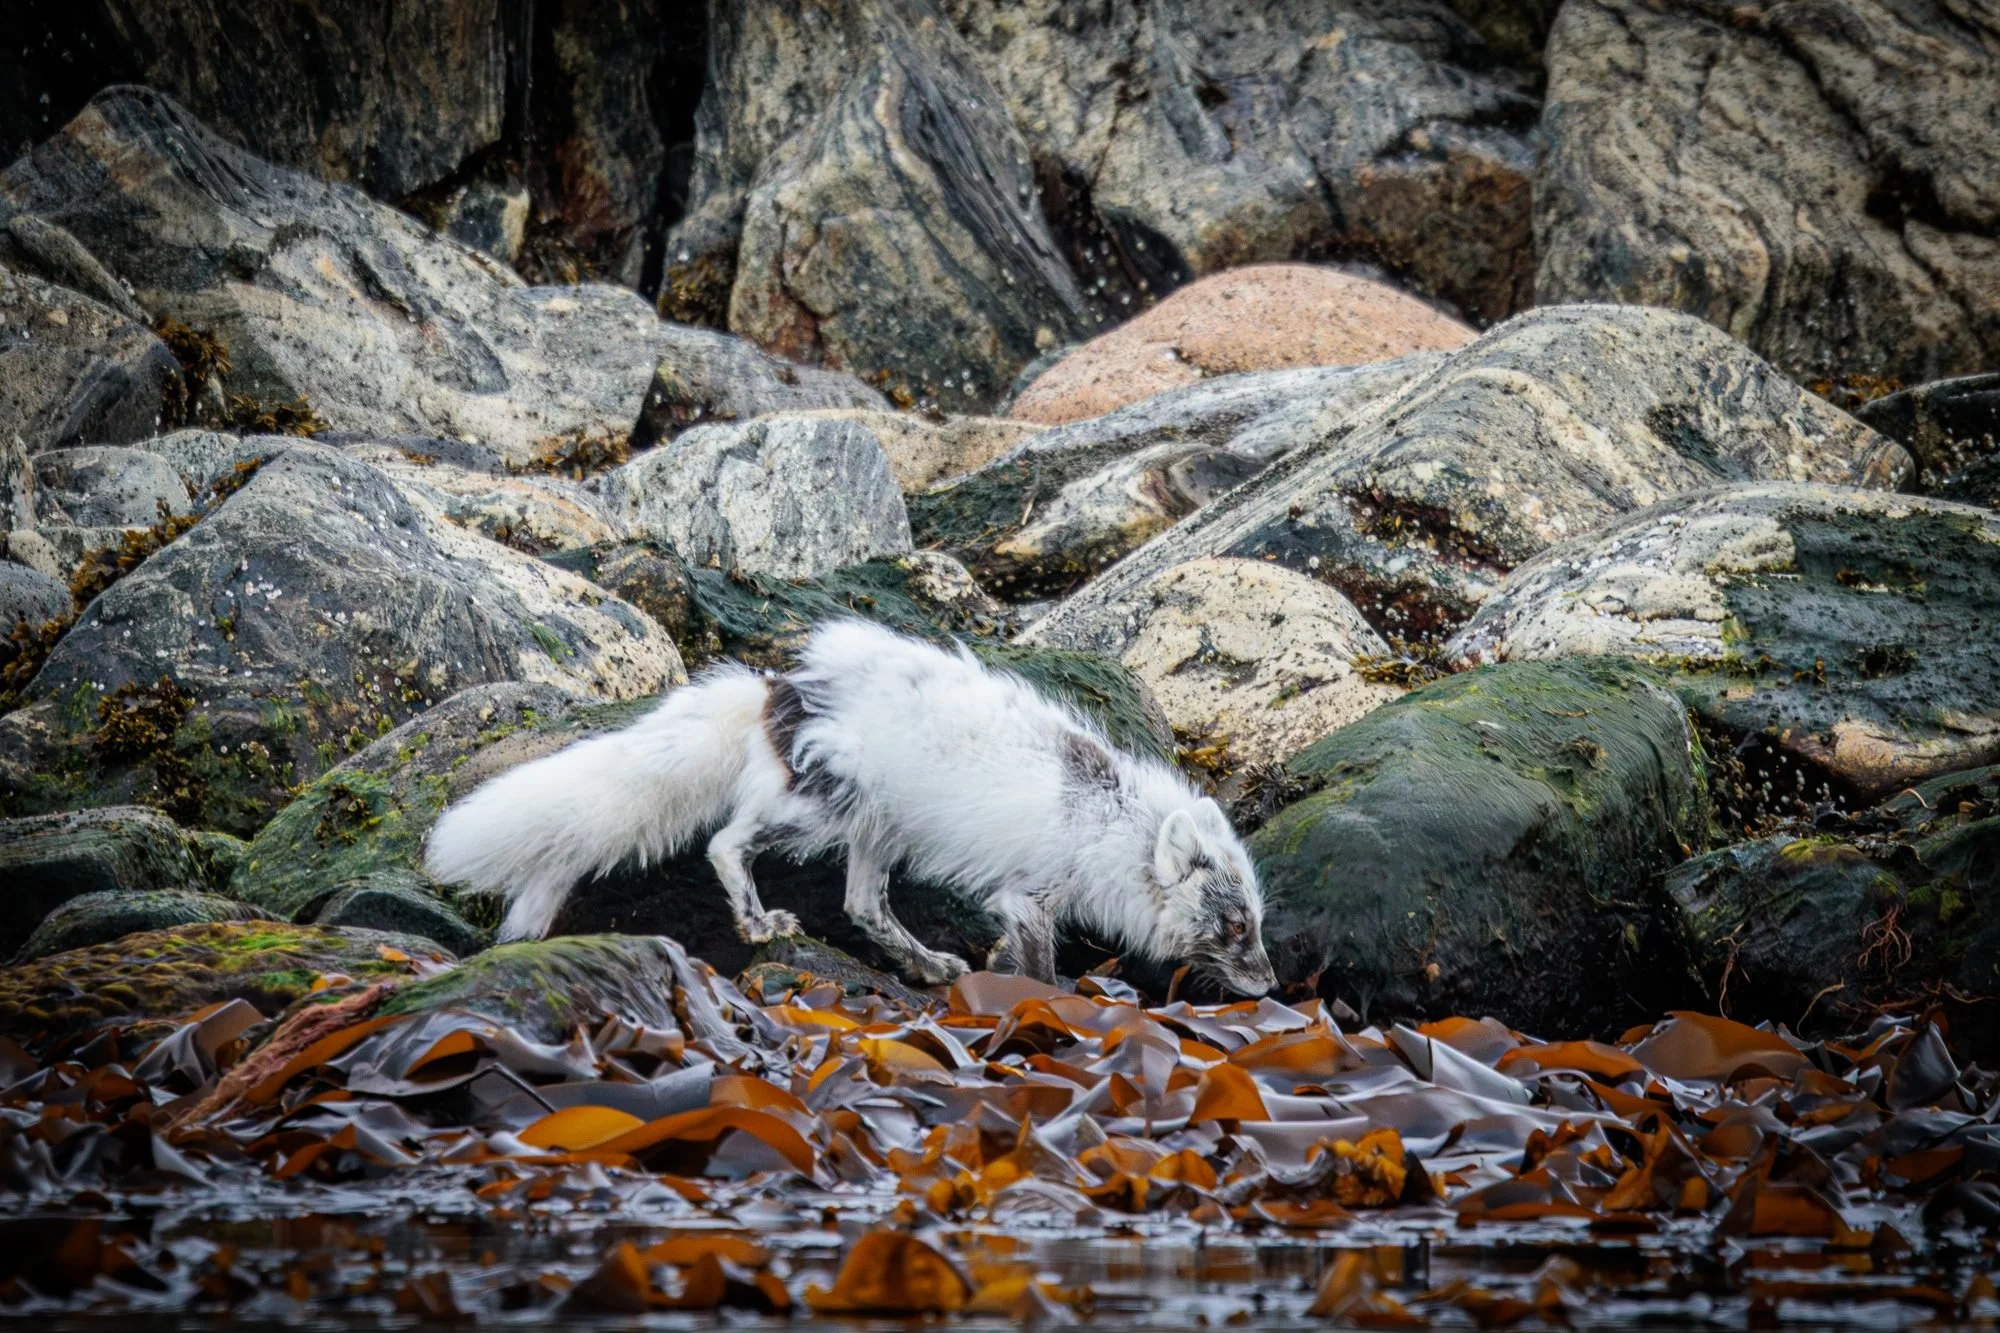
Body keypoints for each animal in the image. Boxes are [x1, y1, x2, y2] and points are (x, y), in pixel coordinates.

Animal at [423, 619, 1276, 994]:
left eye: (1256, 922)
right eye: (1234, 925)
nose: (1271, 984)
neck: (1112, 823)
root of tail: (777, 689)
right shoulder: (1030, 894)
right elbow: (1038, 964)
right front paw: (1045, 1001)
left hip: (879, 828)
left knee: (863, 904)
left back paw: (926, 962)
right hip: (827, 808)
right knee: (728, 842)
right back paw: (759, 922)